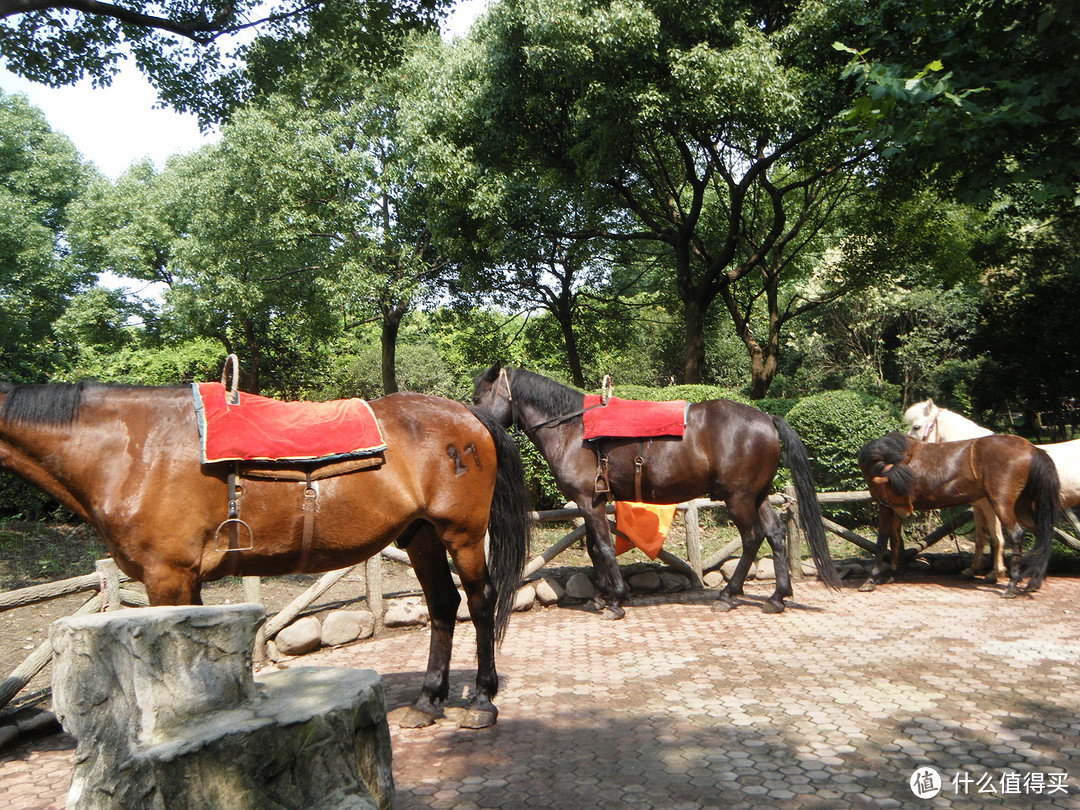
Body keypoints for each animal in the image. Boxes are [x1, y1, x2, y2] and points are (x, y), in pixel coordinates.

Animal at [0, 380, 531, 730]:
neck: (131, 447)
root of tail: (468, 416)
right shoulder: (182, 580)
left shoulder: (167, 576)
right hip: (420, 535)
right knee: (443, 605)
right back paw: (427, 701)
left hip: (462, 535)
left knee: (480, 602)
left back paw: (482, 701)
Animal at [475, 365, 842, 617]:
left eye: (479, 396)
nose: (475, 425)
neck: (573, 428)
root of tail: (766, 418)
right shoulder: (592, 502)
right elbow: (595, 550)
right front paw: (601, 596)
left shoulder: (589, 502)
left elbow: (604, 548)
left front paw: (617, 600)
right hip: (758, 495)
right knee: (775, 533)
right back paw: (777, 597)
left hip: (738, 498)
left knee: (752, 537)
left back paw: (728, 595)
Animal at [855, 434, 1058, 600]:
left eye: (899, 488)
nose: (907, 512)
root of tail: (1032, 448)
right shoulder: (892, 509)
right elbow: (895, 540)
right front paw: (892, 573)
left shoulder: (886, 507)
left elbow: (882, 542)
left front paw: (871, 579)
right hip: (1021, 507)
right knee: (1044, 535)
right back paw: (1034, 581)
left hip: (1002, 504)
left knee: (1016, 535)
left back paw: (1012, 585)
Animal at [902, 401, 1080, 583]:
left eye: (916, 427)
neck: (972, 458)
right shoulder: (978, 507)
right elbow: (981, 539)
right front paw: (972, 570)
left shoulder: (991, 507)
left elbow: (996, 538)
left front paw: (995, 573)